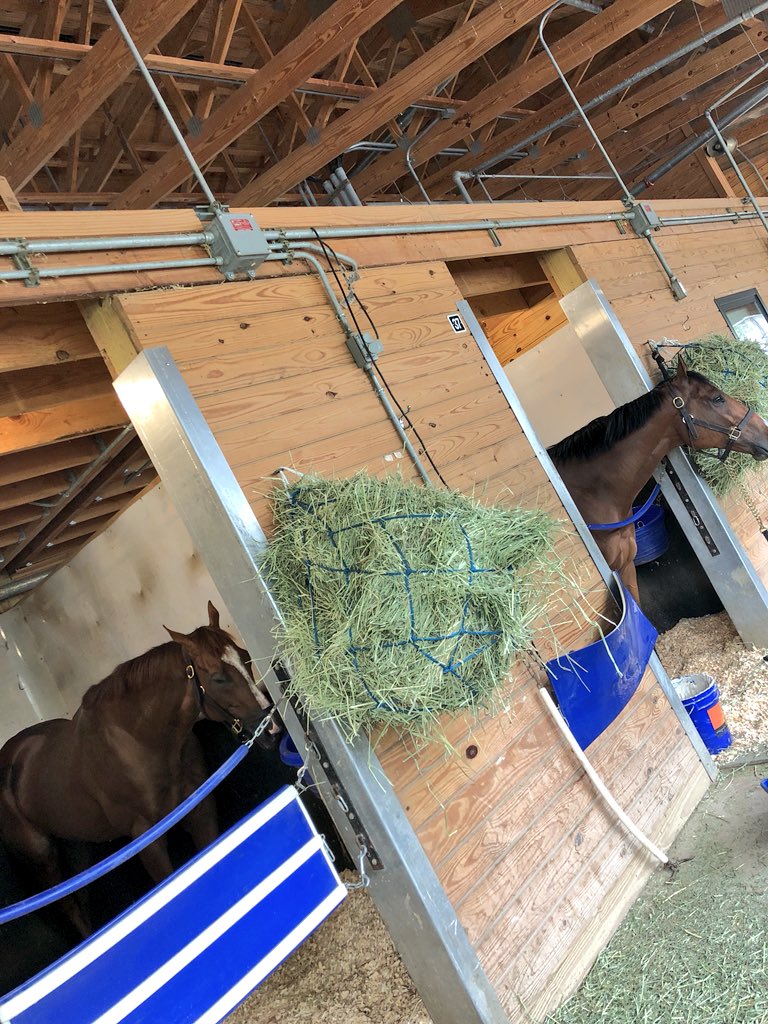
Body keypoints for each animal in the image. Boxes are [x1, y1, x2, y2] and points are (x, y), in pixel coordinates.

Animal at [0, 602, 279, 937]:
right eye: (218, 678)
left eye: (245, 656)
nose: (271, 727)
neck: (142, 741)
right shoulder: (148, 840)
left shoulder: (201, 810)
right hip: (43, 860)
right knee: (69, 909)